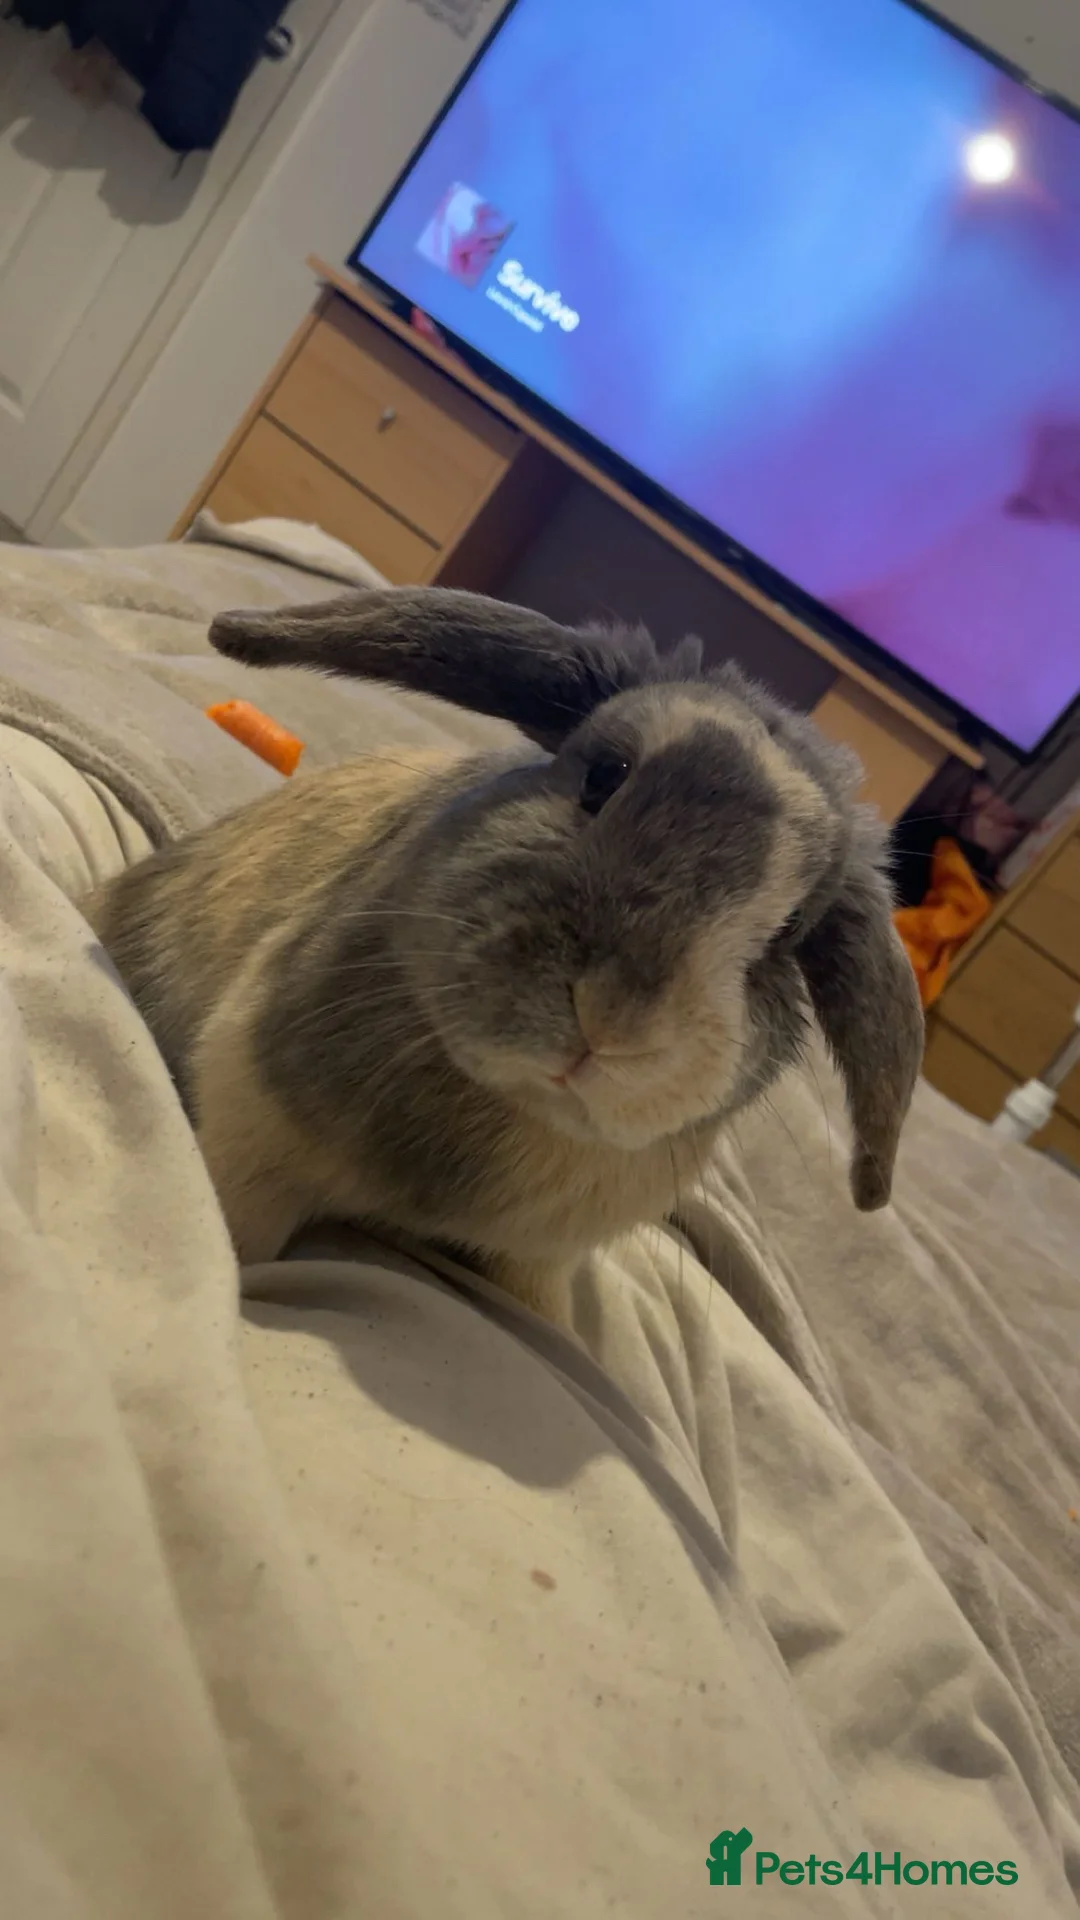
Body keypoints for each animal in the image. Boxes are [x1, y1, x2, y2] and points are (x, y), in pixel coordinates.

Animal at [85, 586, 923, 1318]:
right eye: (604, 774)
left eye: (791, 931)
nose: (611, 1022)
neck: (512, 1108)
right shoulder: (249, 1132)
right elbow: (232, 1228)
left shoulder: (536, 1259)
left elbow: (542, 1313)